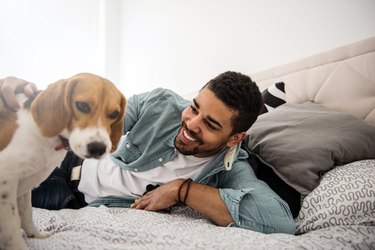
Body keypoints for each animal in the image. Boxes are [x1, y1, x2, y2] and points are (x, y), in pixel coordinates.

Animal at [0, 73, 126, 250]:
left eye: (114, 114)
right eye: (82, 106)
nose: (98, 148)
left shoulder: (25, 184)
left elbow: (26, 213)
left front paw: (36, 235)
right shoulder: (6, 182)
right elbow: (12, 227)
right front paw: (19, 246)